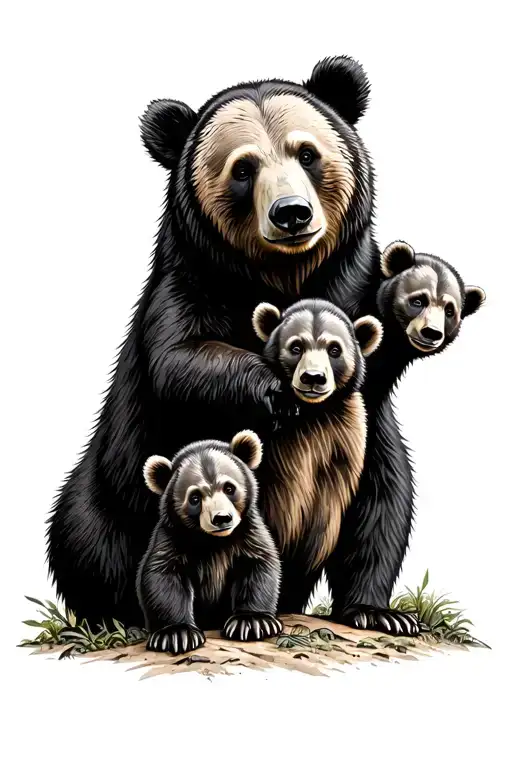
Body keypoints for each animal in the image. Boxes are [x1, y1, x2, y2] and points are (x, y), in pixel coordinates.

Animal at [137, 430, 282, 654]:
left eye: (229, 488)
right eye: (195, 498)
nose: (221, 518)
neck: (213, 541)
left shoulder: (247, 533)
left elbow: (258, 565)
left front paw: (252, 621)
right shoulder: (173, 537)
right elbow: (163, 577)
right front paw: (176, 634)